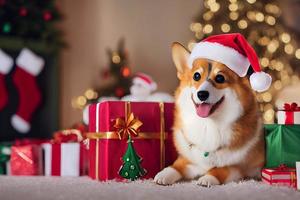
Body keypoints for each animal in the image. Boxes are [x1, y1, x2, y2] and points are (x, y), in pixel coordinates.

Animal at [154, 38, 266, 186]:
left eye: (220, 78)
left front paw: (207, 178)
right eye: (196, 76)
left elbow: (220, 169)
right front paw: (163, 174)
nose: (202, 94)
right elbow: (176, 165)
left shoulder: (237, 167)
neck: (208, 125)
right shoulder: (189, 160)